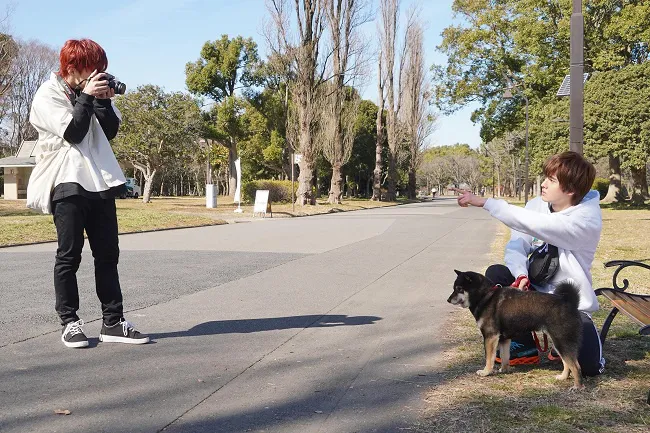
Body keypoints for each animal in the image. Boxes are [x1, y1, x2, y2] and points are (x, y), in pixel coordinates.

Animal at [446, 270, 584, 388]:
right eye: (454, 288)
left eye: (459, 289)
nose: (448, 299)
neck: (485, 296)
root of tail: (569, 303)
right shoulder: (503, 339)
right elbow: (504, 357)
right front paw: (504, 370)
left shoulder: (490, 337)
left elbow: (489, 358)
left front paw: (486, 372)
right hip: (559, 342)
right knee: (567, 363)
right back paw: (563, 377)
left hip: (561, 341)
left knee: (576, 366)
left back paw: (577, 386)